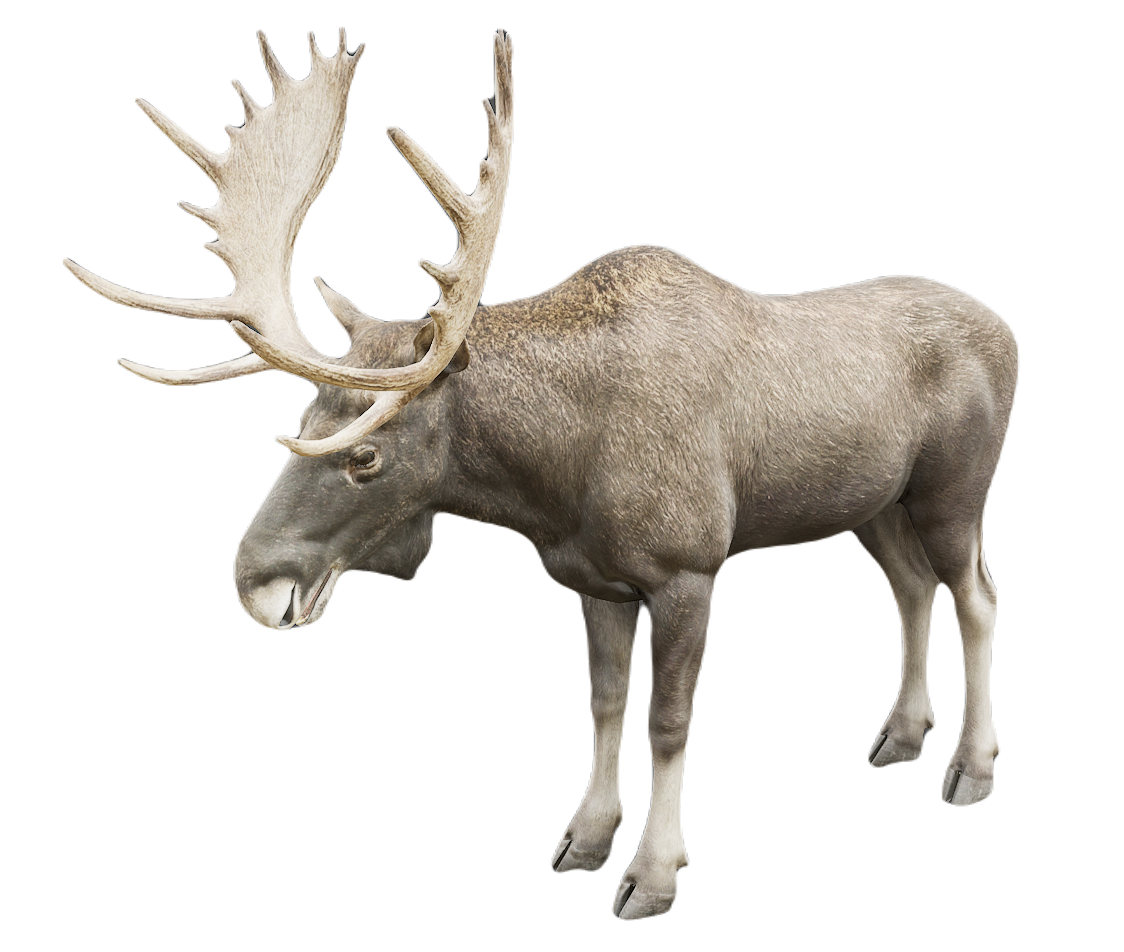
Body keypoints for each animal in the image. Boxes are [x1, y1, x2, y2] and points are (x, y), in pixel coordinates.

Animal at [63, 27, 1018, 920]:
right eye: (299, 427)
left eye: (366, 452)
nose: (254, 581)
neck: (556, 482)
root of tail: (1008, 330)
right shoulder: (591, 579)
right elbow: (603, 701)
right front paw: (584, 841)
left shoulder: (689, 570)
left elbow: (667, 721)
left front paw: (652, 875)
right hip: (874, 504)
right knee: (909, 587)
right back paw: (901, 735)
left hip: (956, 489)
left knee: (975, 594)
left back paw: (970, 766)